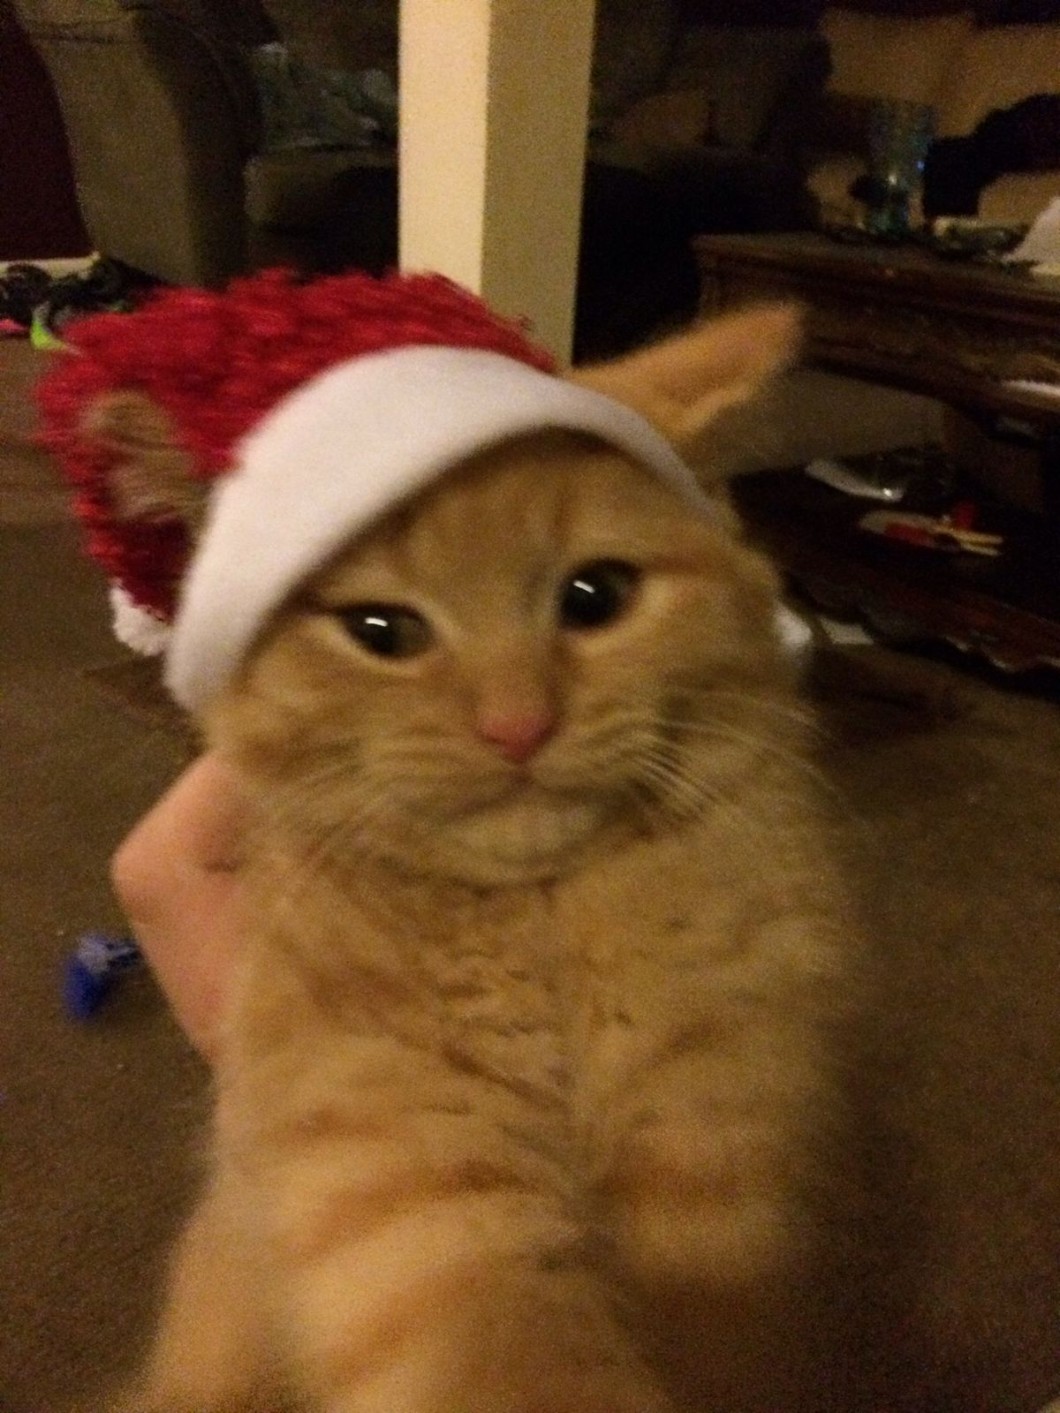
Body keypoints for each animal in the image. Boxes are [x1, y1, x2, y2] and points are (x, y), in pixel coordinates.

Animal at [98, 302, 862, 1412]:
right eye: (381, 629)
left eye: (594, 595)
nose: (517, 726)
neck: (543, 928)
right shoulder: (407, 1173)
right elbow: (511, 1348)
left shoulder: (714, 1134)